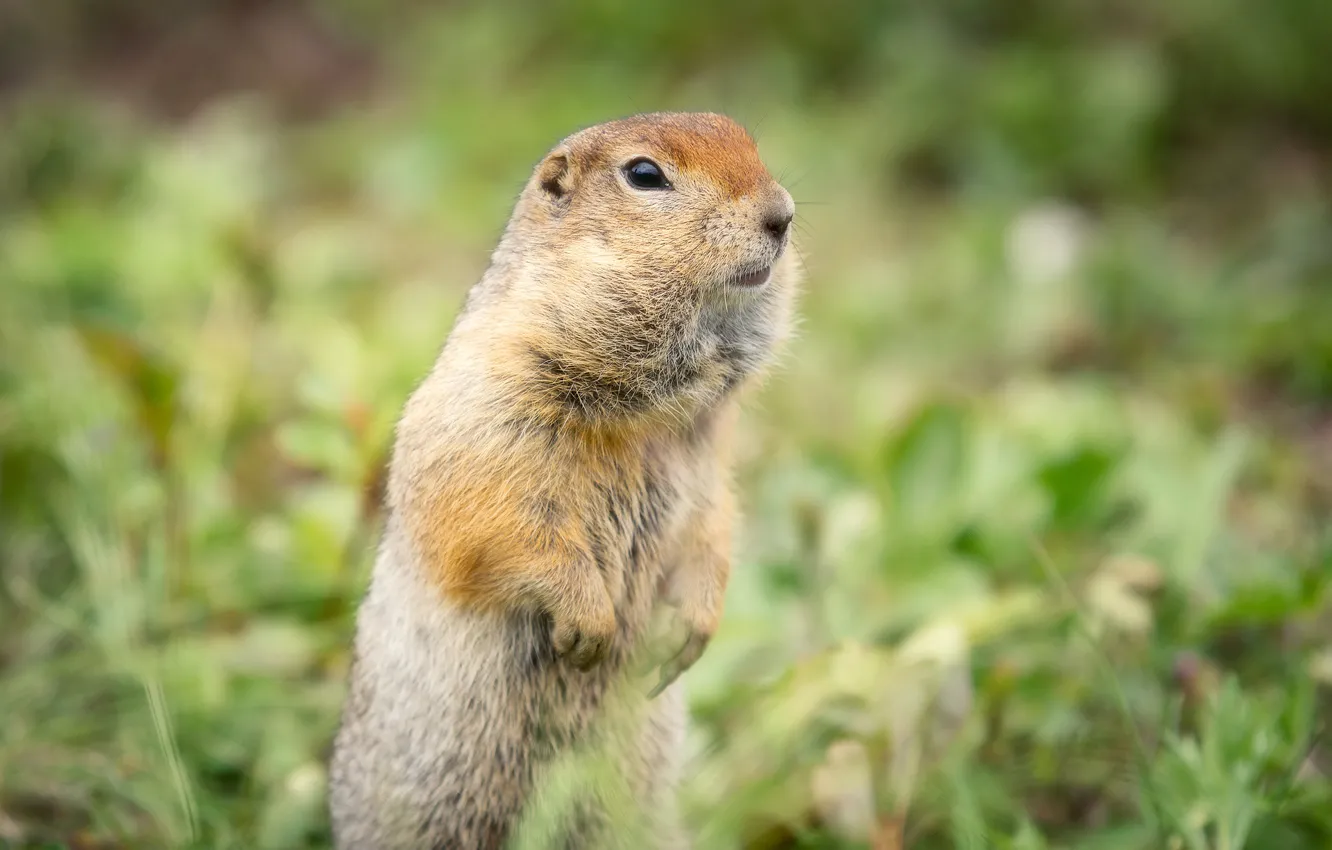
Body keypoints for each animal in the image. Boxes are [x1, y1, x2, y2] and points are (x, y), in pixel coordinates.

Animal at [327, 113, 793, 850]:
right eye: (644, 174)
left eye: (746, 138)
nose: (783, 216)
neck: (645, 413)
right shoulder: (490, 410)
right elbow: (502, 523)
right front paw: (588, 627)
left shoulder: (707, 464)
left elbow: (713, 528)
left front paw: (689, 631)